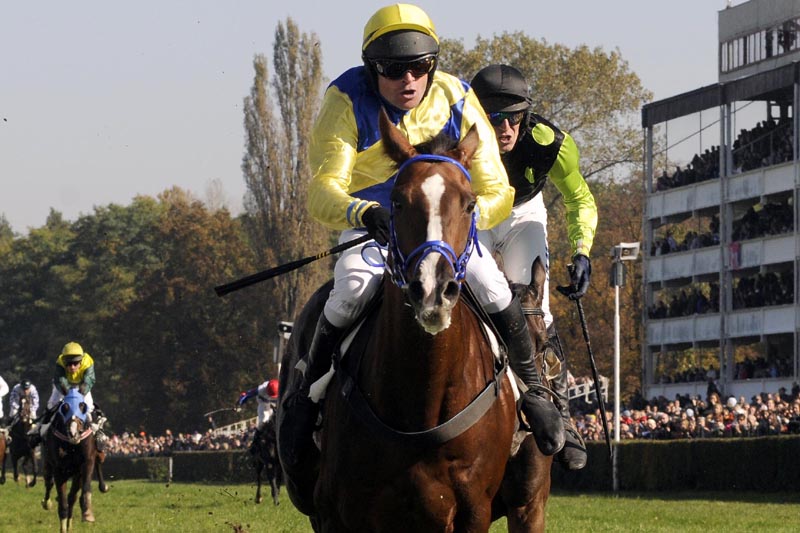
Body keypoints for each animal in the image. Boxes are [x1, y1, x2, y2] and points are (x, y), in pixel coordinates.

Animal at [276, 110, 552, 528]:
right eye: (397, 202)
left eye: (470, 204)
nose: (433, 289)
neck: (422, 397)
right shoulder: (339, 513)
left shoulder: (476, 509)